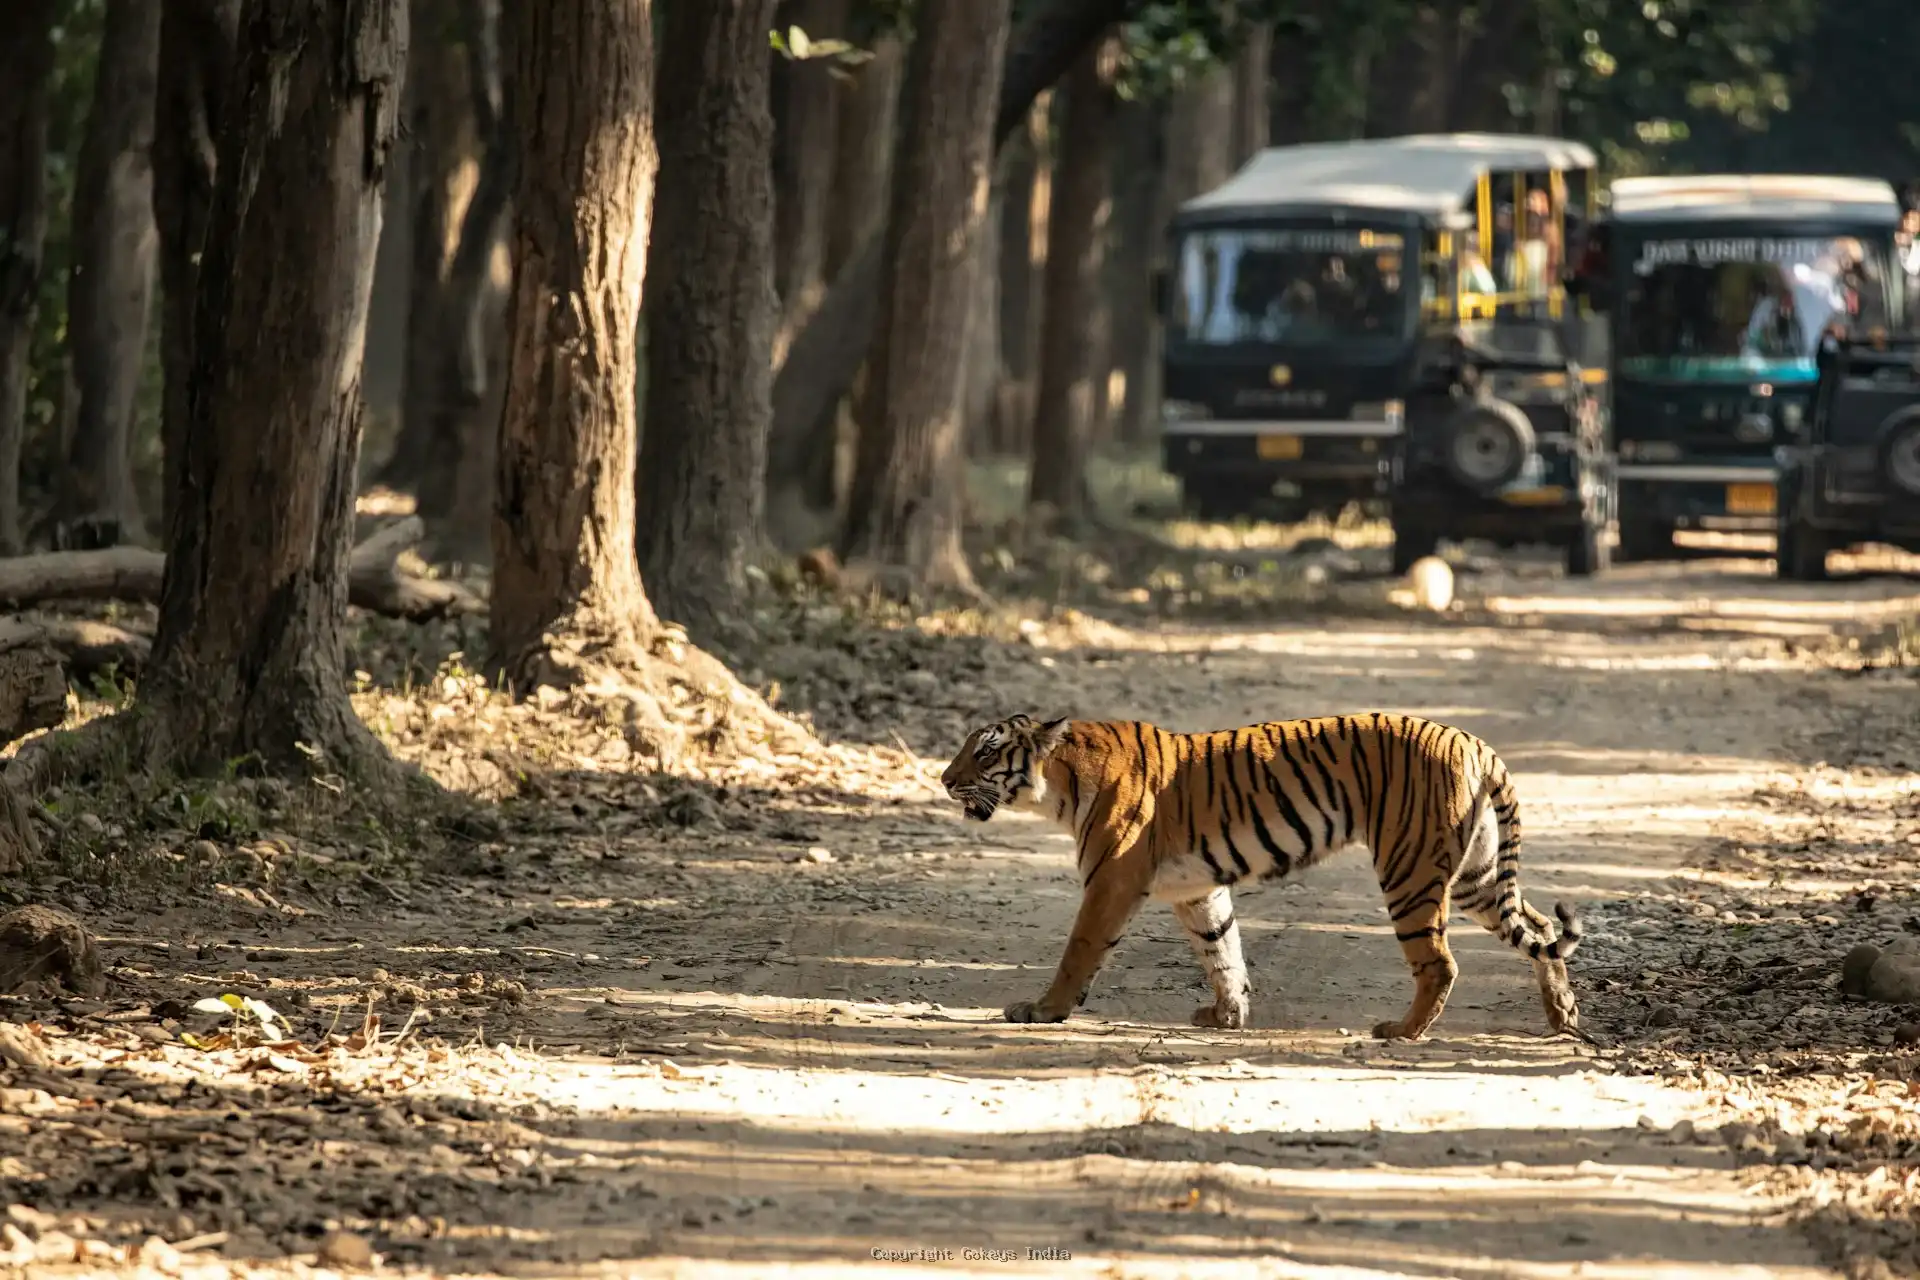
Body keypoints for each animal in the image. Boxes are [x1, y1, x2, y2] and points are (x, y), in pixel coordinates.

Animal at [936, 710, 1582, 1043]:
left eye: (985, 753)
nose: (943, 779)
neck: (1060, 786)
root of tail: (1473, 740)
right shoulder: (1198, 888)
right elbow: (1223, 952)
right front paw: (1227, 1016)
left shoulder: (1111, 882)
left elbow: (1079, 950)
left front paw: (1042, 1010)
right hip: (1476, 875)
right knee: (1541, 926)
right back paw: (1563, 1015)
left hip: (1410, 870)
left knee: (1441, 962)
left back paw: (1401, 1030)